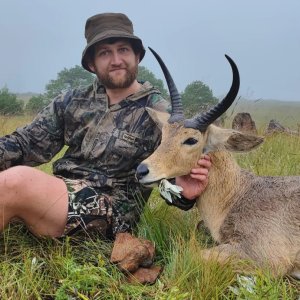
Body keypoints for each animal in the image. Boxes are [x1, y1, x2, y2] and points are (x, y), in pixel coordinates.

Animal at [136, 47, 300, 278]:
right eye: (164, 132)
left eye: (191, 139)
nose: (142, 170)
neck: (239, 194)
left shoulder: (263, 256)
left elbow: (192, 255)